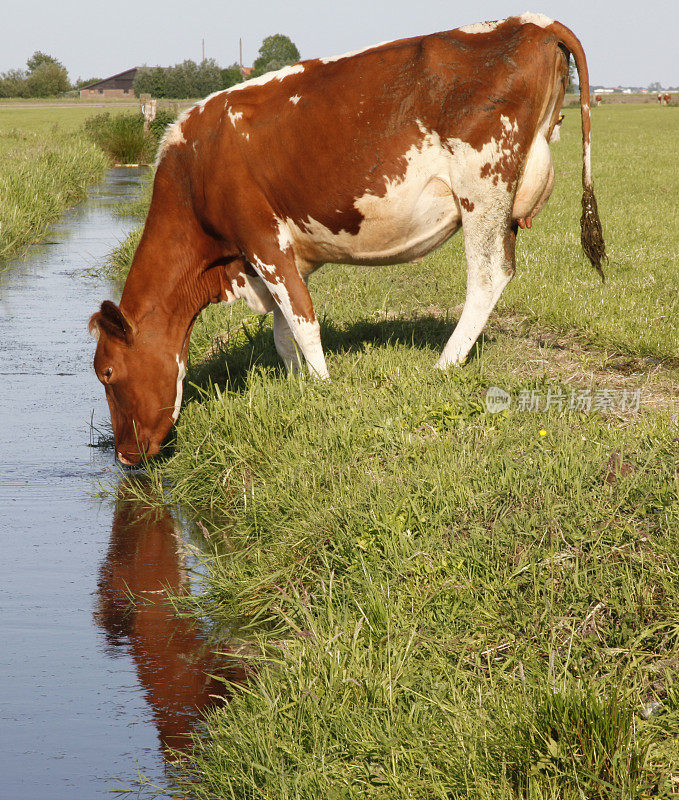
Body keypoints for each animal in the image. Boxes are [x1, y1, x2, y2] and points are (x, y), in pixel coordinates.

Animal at [90, 10, 604, 462]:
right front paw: (294, 383)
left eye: (108, 373)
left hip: (483, 186)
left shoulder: (262, 239)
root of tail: (532, 21)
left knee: (488, 275)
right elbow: (282, 330)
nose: (125, 456)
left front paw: (321, 387)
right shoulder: (278, 256)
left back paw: (444, 364)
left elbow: (303, 321)